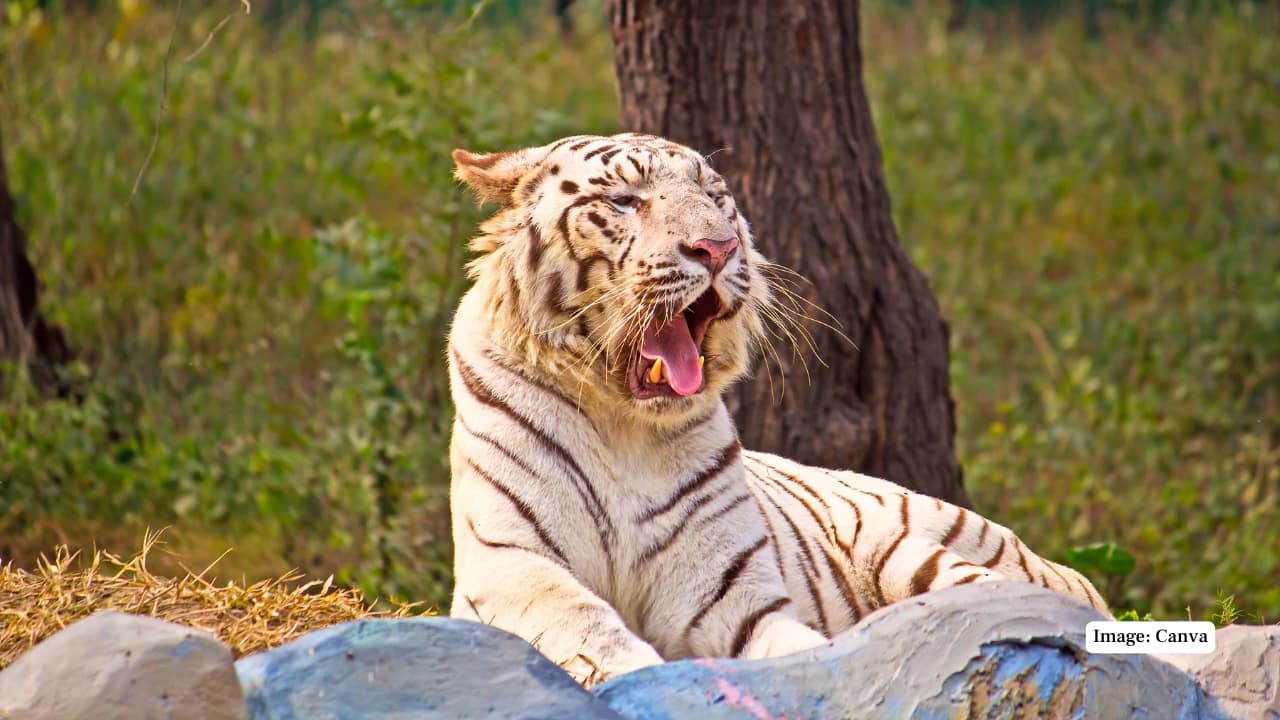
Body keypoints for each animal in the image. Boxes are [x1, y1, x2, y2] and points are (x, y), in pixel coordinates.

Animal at [446, 132, 1107, 687]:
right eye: (625, 200)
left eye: (715, 197)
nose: (717, 248)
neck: (624, 424)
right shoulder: (514, 566)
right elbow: (593, 631)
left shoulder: (726, 594)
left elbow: (795, 655)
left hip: (917, 552)